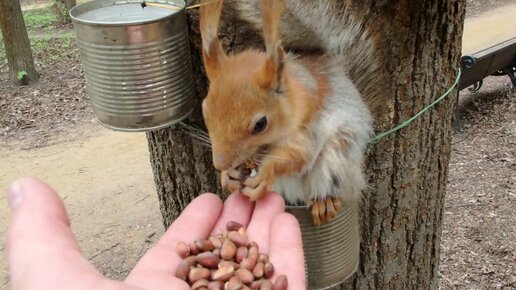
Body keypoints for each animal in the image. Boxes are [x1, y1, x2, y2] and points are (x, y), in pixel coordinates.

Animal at [200, 0, 372, 225]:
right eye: (204, 109)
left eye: (260, 124)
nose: (220, 164)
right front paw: (227, 176)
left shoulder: (308, 129)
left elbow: (298, 156)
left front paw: (265, 172)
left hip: (337, 161)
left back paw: (324, 202)